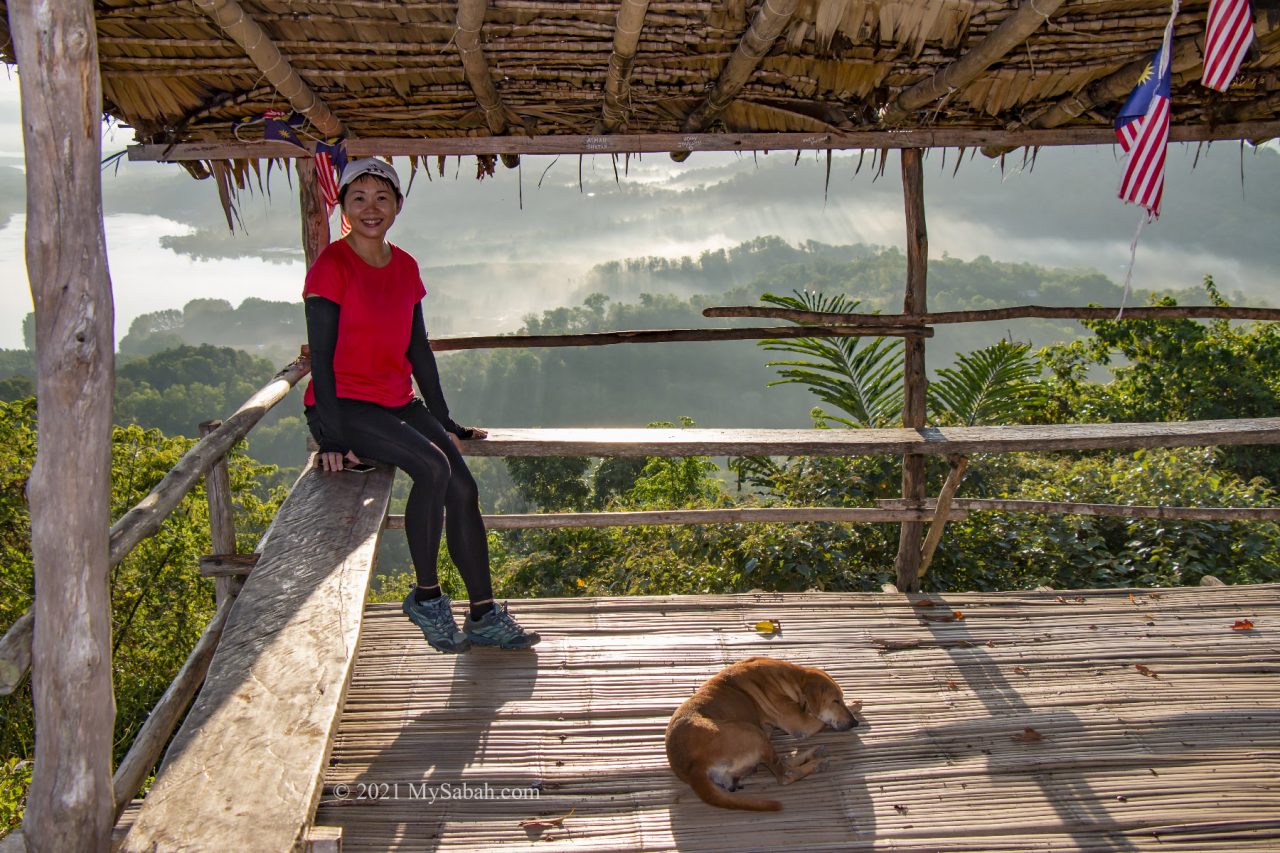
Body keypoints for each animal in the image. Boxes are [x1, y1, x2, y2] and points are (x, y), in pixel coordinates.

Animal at [660, 653, 860, 809]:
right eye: (835, 701)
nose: (855, 722)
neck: (790, 678)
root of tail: (693, 768)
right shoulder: (801, 724)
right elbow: (821, 721)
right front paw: (854, 706)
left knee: (782, 763)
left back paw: (814, 753)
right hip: (754, 733)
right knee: (785, 774)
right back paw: (817, 763)